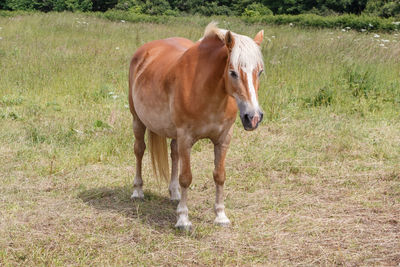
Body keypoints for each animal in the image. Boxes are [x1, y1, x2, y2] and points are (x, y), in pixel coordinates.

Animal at [130, 23, 264, 231]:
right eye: (233, 72)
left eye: (260, 71)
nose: (253, 117)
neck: (207, 89)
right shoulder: (186, 138)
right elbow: (186, 177)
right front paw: (183, 219)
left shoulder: (223, 139)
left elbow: (219, 175)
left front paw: (221, 216)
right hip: (138, 120)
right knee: (139, 150)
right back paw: (138, 191)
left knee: (174, 154)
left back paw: (174, 194)